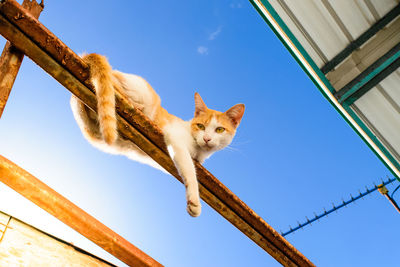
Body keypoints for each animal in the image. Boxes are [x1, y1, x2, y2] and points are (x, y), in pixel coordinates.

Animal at [70, 54, 245, 218]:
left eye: (219, 130)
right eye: (201, 126)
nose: (207, 138)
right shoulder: (176, 139)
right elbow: (190, 171)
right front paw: (194, 201)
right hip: (144, 92)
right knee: (111, 82)